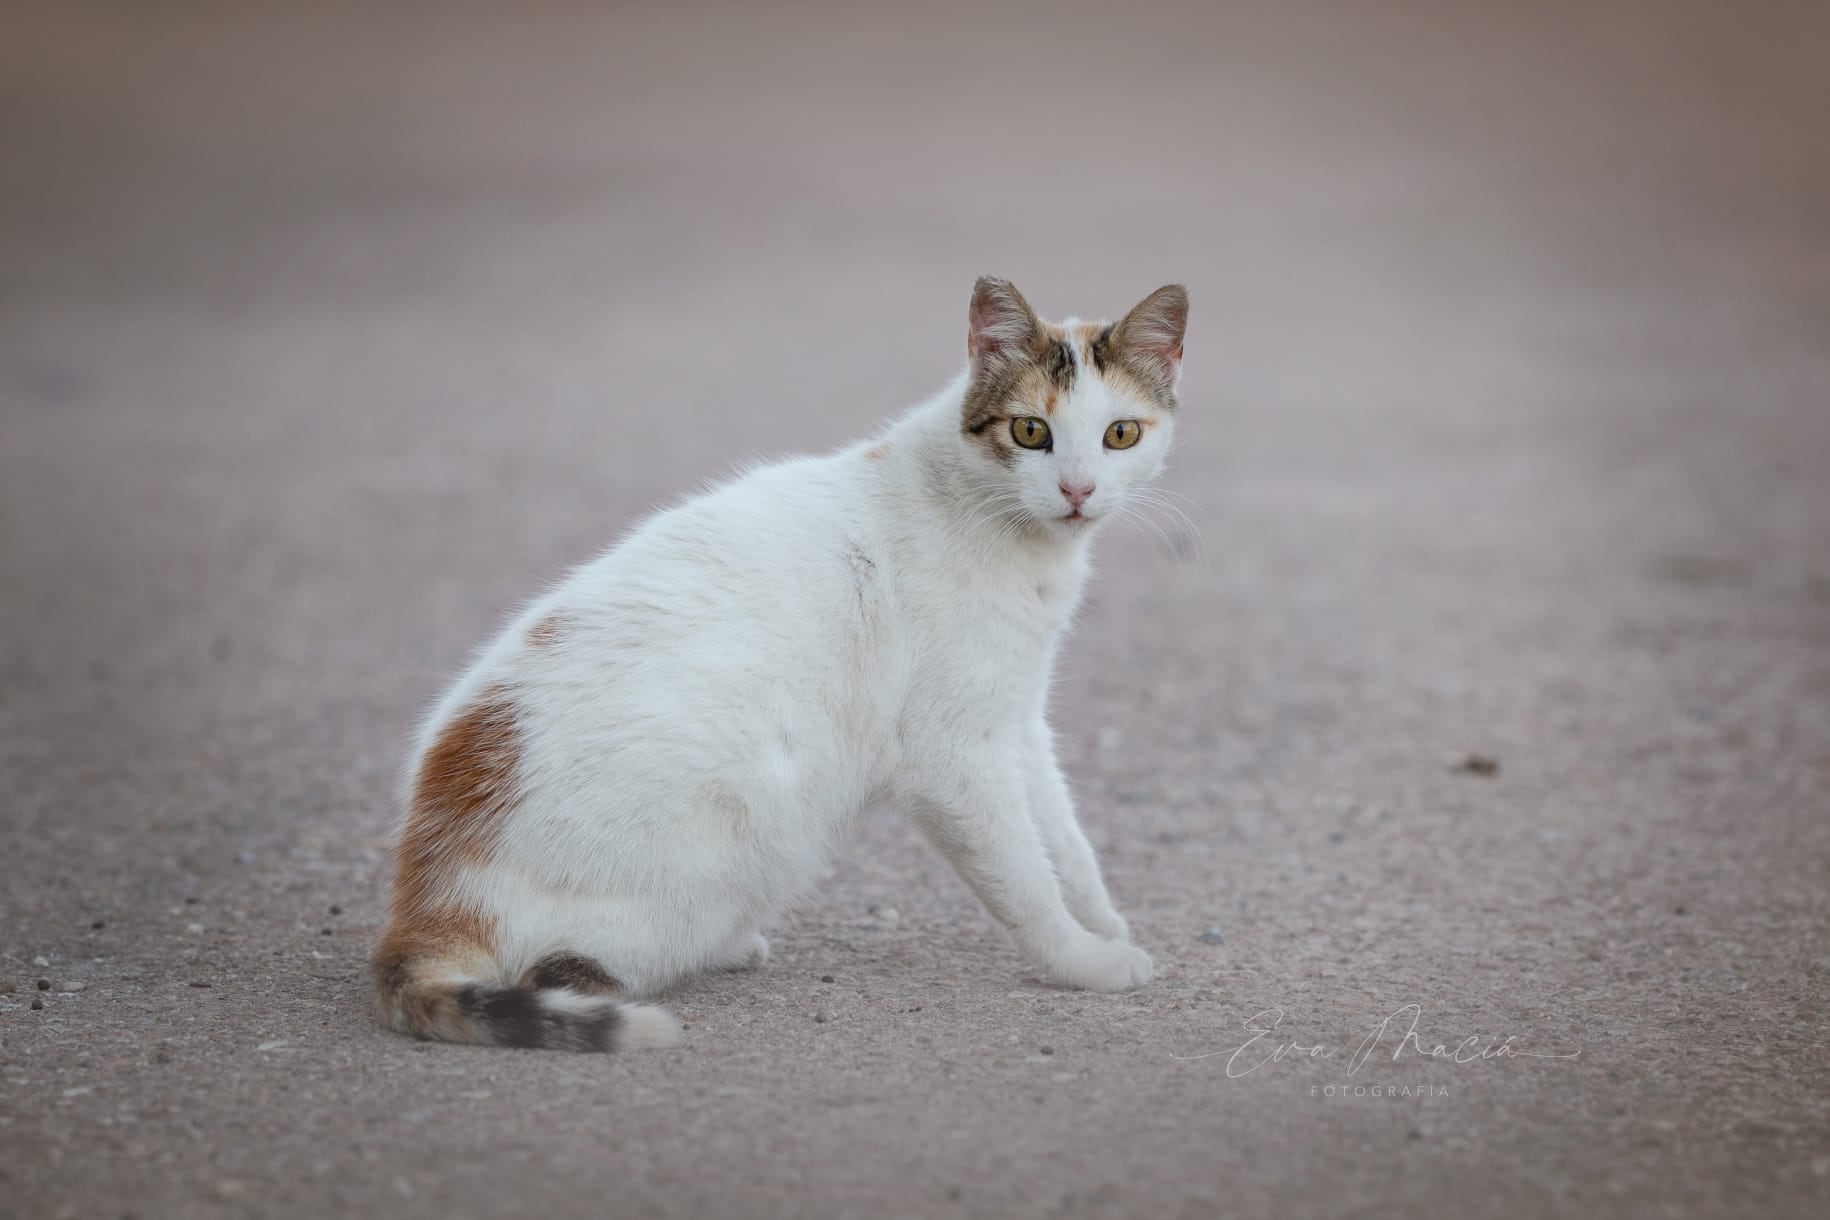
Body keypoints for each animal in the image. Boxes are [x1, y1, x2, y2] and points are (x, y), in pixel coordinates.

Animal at [378, 276, 1193, 1053]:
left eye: (1120, 434)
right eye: (1031, 431)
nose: (1078, 490)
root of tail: (429, 896)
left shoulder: (1016, 718)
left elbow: (1065, 840)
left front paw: (1102, 920)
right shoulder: (954, 755)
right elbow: (1023, 876)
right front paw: (1082, 960)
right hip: (746, 834)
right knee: (563, 970)